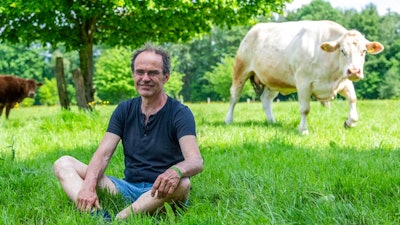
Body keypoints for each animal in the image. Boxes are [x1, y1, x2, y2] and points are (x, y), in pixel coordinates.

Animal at [225, 20, 384, 134]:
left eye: (363, 51)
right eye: (342, 51)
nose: (354, 71)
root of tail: (254, 29)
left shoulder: (343, 81)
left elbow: (353, 99)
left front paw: (349, 122)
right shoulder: (303, 83)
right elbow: (305, 109)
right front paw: (303, 130)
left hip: (273, 80)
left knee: (266, 99)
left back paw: (272, 121)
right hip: (241, 70)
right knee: (234, 96)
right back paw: (228, 120)